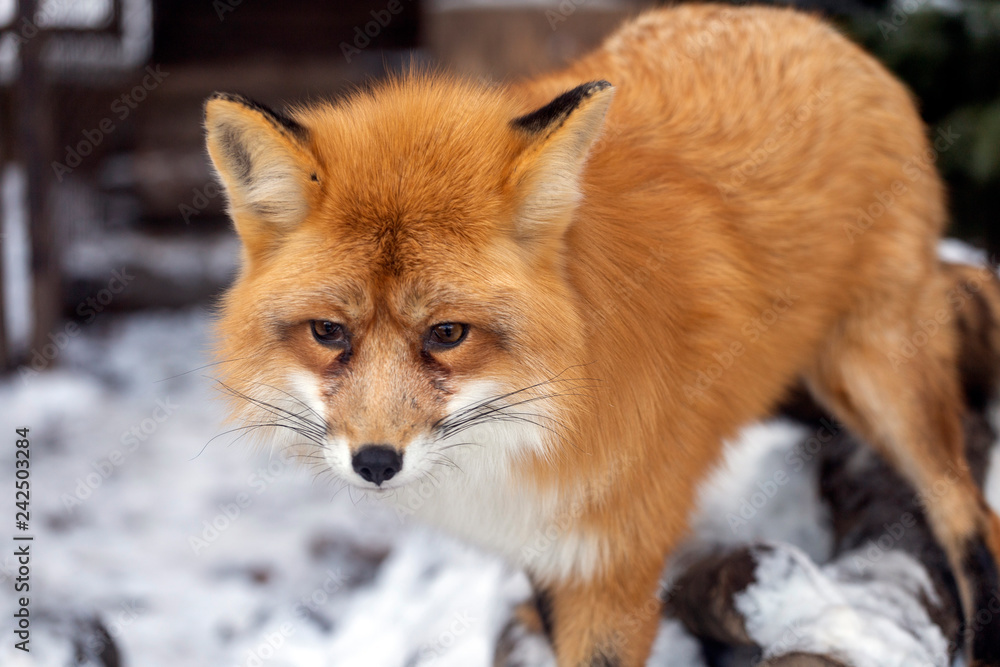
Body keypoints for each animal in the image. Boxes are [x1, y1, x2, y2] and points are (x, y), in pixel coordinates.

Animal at [203, 4, 1000, 666]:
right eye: (328, 331)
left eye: (449, 333)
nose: (374, 462)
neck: (536, 417)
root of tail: (811, 26)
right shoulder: (549, 534)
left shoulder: (618, 561)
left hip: (881, 380)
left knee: (970, 516)